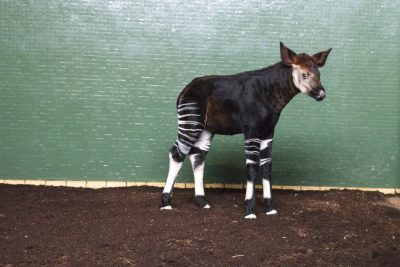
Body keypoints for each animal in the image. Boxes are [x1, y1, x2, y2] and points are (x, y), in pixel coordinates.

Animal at [159, 42, 332, 220]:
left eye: (319, 74)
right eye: (305, 75)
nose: (322, 94)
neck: (268, 94)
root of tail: (184, 91)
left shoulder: (268, 132)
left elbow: (266, 167)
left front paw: (270, 208)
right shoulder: (252, 130)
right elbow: (252, 167)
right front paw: (249, 209)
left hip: (206, 128)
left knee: (197, 156)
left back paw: (202, 201)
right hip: (191, 122)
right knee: (177, 153)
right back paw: (166, 202)